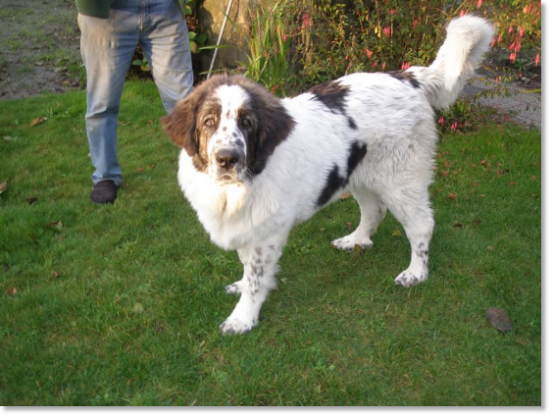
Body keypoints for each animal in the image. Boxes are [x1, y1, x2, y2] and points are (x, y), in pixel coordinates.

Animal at [162, 16, 494, 334]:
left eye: (247, 123)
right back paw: (357, 240)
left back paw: (416, 273)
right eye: (208, 121)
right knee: (374, 210)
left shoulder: (266, 232)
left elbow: (256, 277)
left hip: (402, 181)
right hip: (361, 174)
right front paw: (241, 287)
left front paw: (243, 318)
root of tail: (408, 77)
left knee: (421, 225)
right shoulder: (249, 225)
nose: (227, 159)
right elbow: (247, 265)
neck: (239, 184)